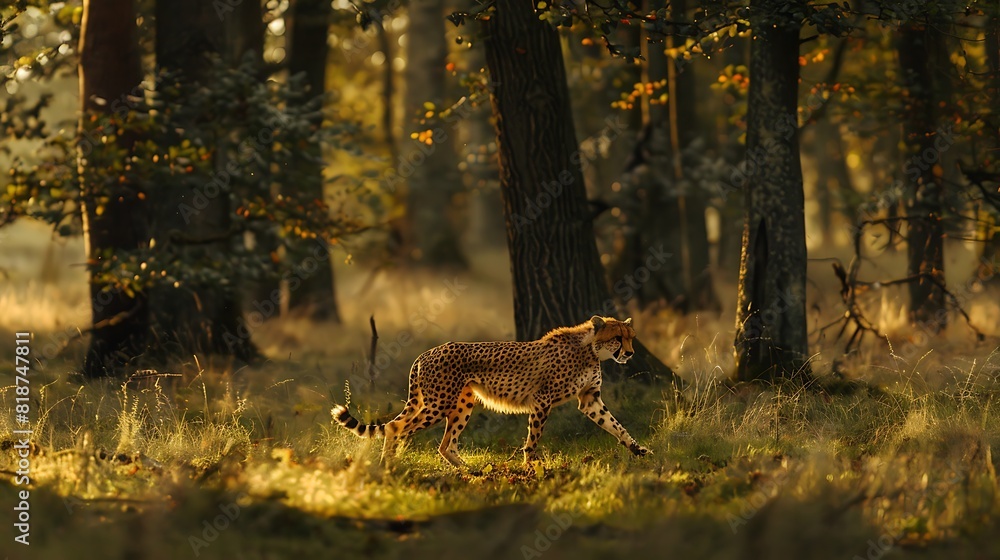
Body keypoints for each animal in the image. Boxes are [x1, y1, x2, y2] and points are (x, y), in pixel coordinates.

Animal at [331, 315, 651, 467]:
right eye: (618, 338)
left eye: (632, 337)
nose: (630, 354)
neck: (590, 350)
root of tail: (427, 352)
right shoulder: (543, 399)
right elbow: (533, 437)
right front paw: (530, 465)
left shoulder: (590, 399)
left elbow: (616, 426)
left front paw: (638, 449)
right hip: (438, 404)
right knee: (398, 428)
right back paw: (389, 464)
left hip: (463, 403)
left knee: (442, 443)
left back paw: (471, 470)